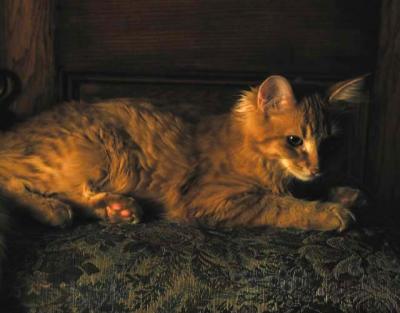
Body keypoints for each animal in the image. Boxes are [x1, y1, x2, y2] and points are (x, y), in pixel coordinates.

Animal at [0, 76, 368, 270]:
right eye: (294, 141)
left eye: (330, 143)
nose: (317, 167)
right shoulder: (217, 199)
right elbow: (282, 205)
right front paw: (331, 211)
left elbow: (305, 192)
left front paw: (342, 193)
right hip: (96, 149)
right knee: (16, 184)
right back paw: (54, 210)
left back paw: (119, 209)